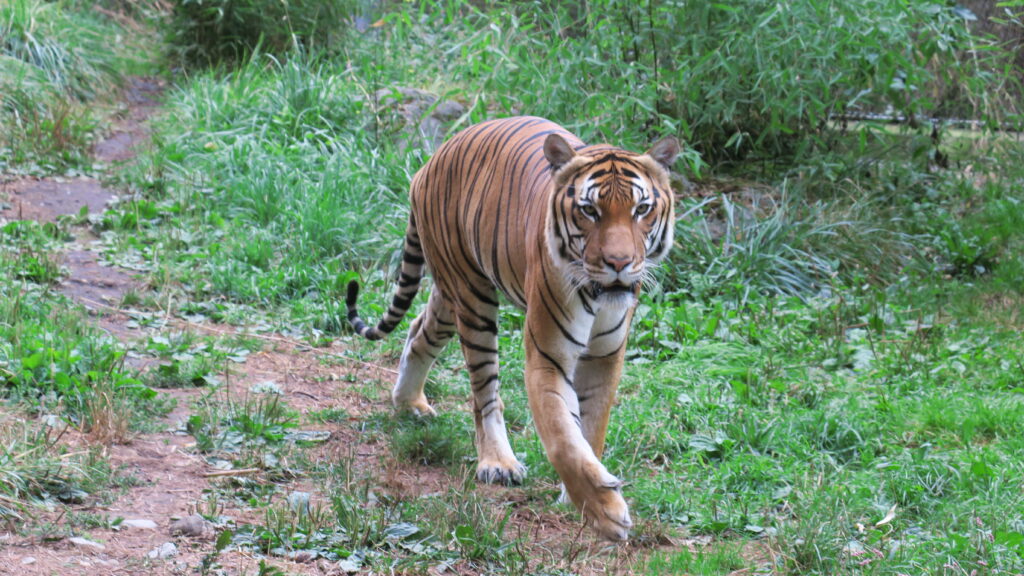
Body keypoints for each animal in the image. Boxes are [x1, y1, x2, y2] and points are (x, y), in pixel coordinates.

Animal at [346, 116, 679, 541]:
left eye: (642, 209)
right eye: (589, 210)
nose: (619, 263)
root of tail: (432, 159)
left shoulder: (606, 358)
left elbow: (591, 429)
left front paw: (580, 497)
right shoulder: (548, 356)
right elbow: (563, 438)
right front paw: (605, 511)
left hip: (450, 293)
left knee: (420, 331)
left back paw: (409, 403)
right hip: (472, 299)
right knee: (484, 393)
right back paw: (497, 462)